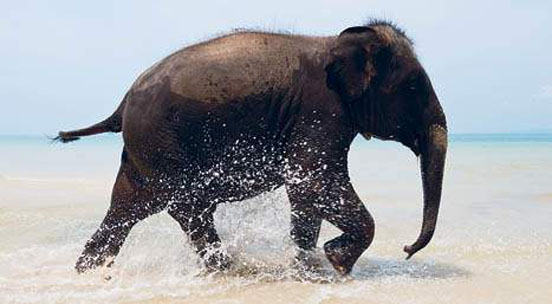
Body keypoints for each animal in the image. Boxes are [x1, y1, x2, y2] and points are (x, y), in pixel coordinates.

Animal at [55, 19, 448, 276]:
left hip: (145, 150)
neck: (338, 42)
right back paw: (229, 270)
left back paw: (87, 271)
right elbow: (314, 182)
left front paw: (309, 268)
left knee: (127, 208)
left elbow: (305, 196)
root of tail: (122, 104)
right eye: (414, 87)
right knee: (187, 208)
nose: (407, 250)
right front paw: (336, 262)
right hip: (161, 143)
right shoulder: (320, 111)